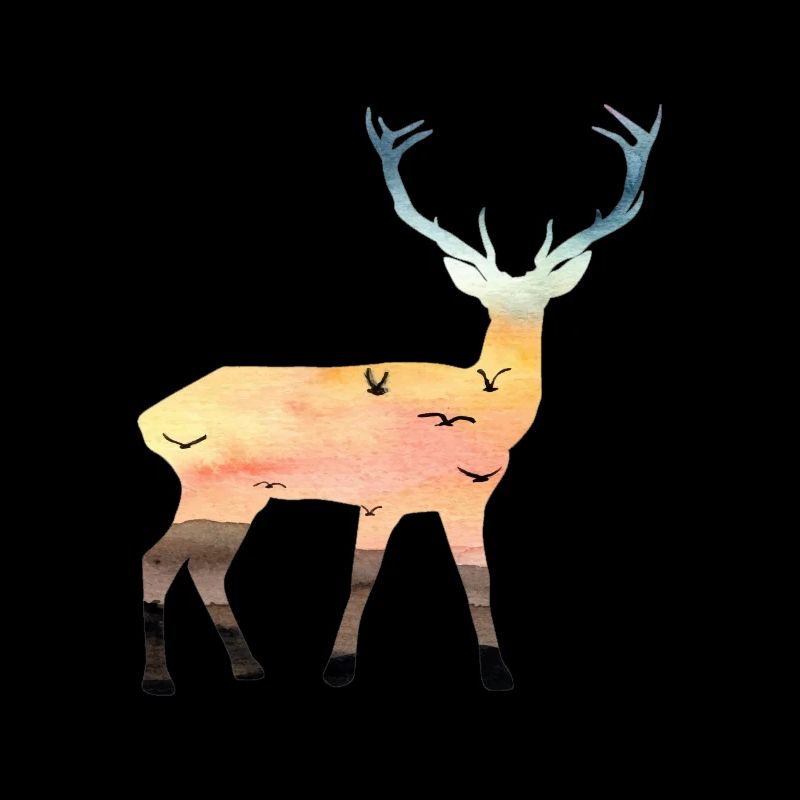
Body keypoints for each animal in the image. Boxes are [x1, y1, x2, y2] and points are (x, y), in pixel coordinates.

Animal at [138, 103, 661, 695]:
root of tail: (148, 416)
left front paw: (497, 672)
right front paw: (338, 669)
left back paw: (249, 668)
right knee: (159, 560)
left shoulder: (472, 500)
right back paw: (160, 680)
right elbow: (362, 579)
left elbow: (479, 579)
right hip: (208, 489)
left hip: (240, 499)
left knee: (203, 567)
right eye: (487, 296)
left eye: (542, 296)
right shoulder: (377, 494)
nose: (512, 349)